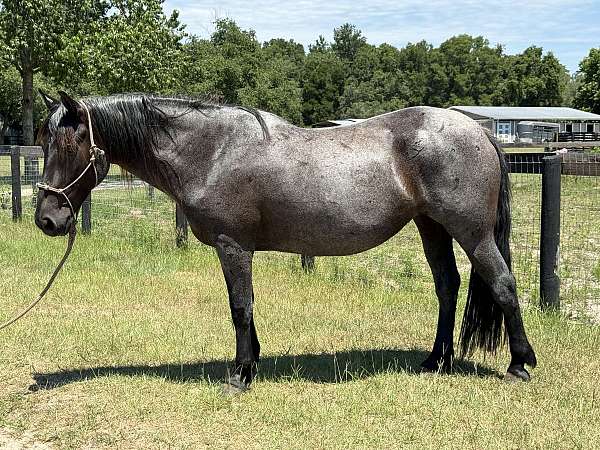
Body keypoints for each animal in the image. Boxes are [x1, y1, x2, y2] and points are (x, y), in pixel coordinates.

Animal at [35, 92, 536, 394]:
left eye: (69, 146)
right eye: (44, 145)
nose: (47, 219)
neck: (211, 152)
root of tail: (479, 130)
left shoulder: (232, 245)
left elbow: (240, 306)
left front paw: (239, 376)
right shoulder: (236, 249)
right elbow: (245, 307)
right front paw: (251, 362)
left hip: (472, 234)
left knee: (503, 285)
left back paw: (519, 365)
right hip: (431, 227)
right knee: (447, 286)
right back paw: (436, 361)